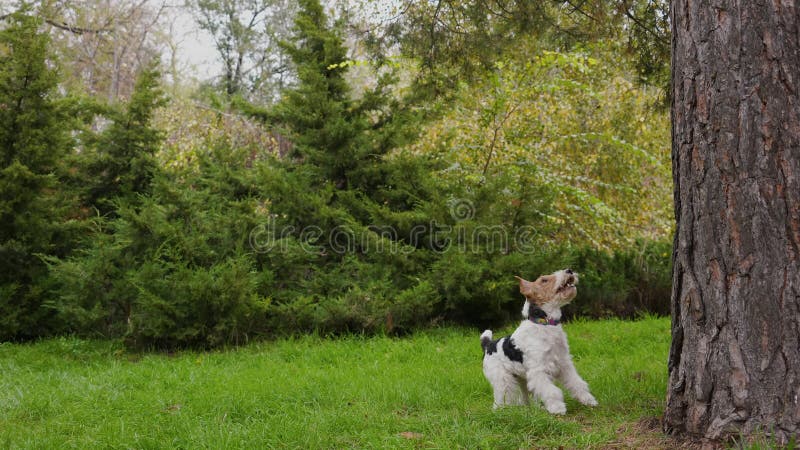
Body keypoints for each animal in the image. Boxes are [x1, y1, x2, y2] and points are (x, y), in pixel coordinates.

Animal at [478, 268, 596, 414]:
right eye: (544, 280)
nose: (569, 270)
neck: (544, 324)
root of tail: (488, 345)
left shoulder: (564, 364)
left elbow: (577, 383)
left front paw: (589, 401)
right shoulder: (539, 371)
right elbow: (551, 391)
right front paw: (557, 408)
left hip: (522, 379)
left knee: (524, 398)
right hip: (503, 379)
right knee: (502, 397)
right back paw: (503, 411)